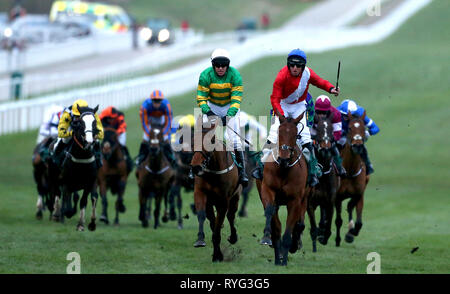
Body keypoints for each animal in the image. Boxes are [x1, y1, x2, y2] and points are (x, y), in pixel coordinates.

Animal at [190, 115, 243, 262]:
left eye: (211, 141)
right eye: (193, 140)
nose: (196, 167)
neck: (213, 172)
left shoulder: (223, 201)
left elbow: (218, 227)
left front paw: (217, 255)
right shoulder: (201, 194)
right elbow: (205, 218)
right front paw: (200, 240)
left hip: (235, 196)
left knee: (231, 216)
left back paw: (233, 237)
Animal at [256, 111, 310, 266]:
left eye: (295, 135)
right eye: (279, 132)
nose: (284, 159)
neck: (283, 169)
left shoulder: (295, 200)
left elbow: (290, 229)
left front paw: (285, 258)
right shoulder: (268, 190)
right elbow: (270, 214)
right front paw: (266, 237)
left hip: (305, 197)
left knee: (299, 224)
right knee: (277, 225)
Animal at [336, 112, 370, 246]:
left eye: (364, 128)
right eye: (349, 128)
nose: (357, 146)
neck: (350, 171)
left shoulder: (359, 194)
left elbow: (358, 221)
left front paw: (351, 233)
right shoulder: (336, 197)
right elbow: (338, 218)